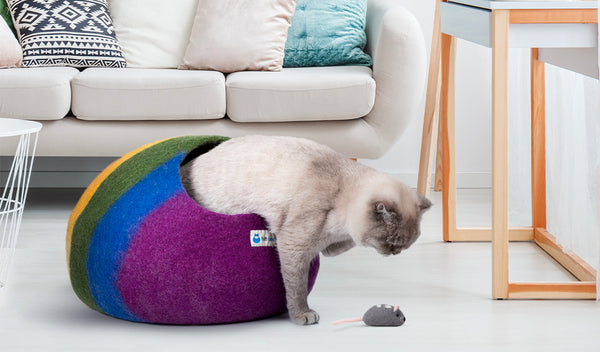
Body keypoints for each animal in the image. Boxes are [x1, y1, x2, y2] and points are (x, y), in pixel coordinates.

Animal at [179, 135, 432, 324]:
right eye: (392, 242)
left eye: (403, 247)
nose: (394, 253)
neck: (340, 197)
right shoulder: (293, 246)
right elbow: (297, 287)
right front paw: (303, 315)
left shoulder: (330, 247)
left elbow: (348, 241)